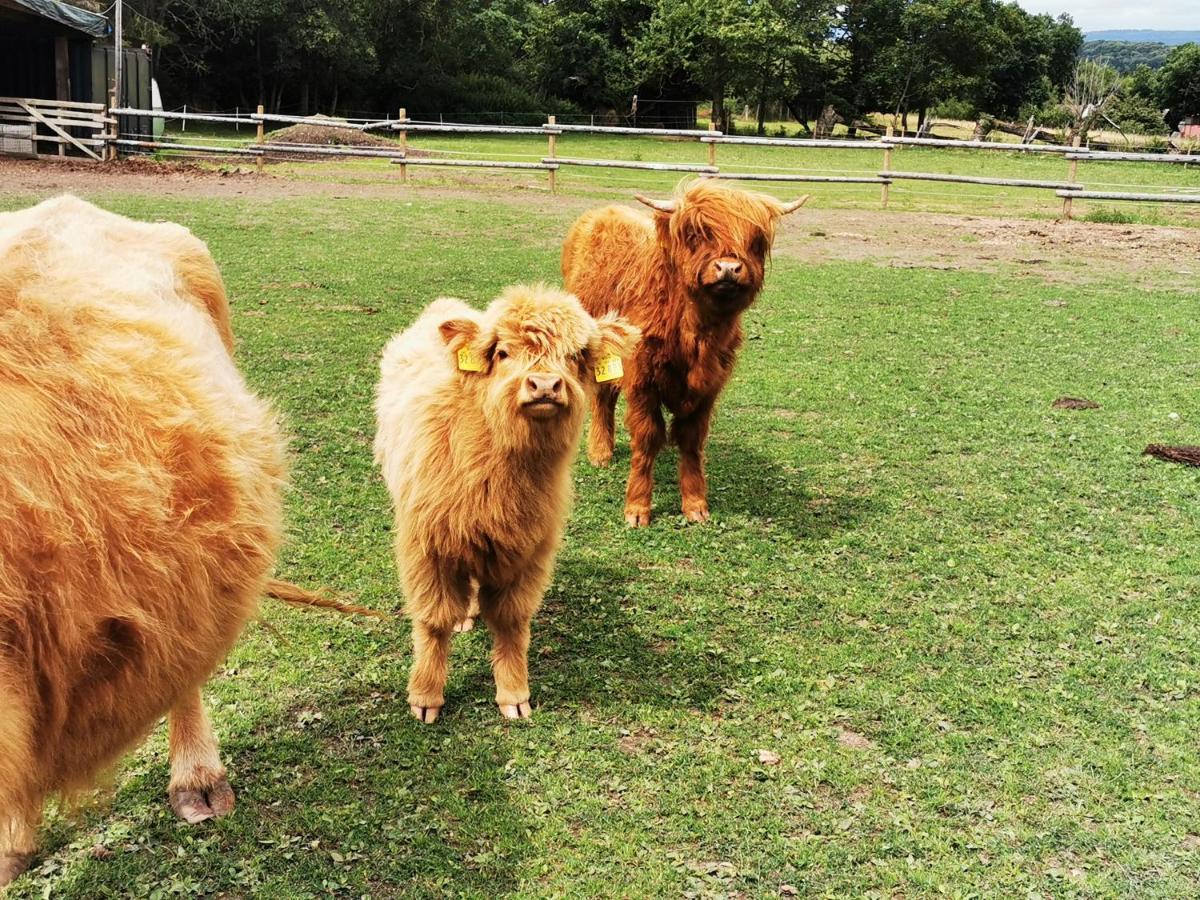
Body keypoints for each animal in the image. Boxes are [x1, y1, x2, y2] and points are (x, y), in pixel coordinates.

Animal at [374, 285, 638, 724]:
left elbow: (512, 622)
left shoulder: (528, 550)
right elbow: (433, 620)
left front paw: (514, 694)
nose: (545, 385)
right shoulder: (427, 547)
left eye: (576, 355)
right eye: (502, 352)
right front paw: (425, 696)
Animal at [561, 178, 806, 525]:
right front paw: (637, 508)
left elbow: (691, 442)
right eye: (696, 233)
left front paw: (695, 504)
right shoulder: (642, 381)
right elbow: (646, 439)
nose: (728, 268)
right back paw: (600, 452)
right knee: (603, 398)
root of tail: (603, 212)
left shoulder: (708, 387)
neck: (694, 333)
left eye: (755, 240)